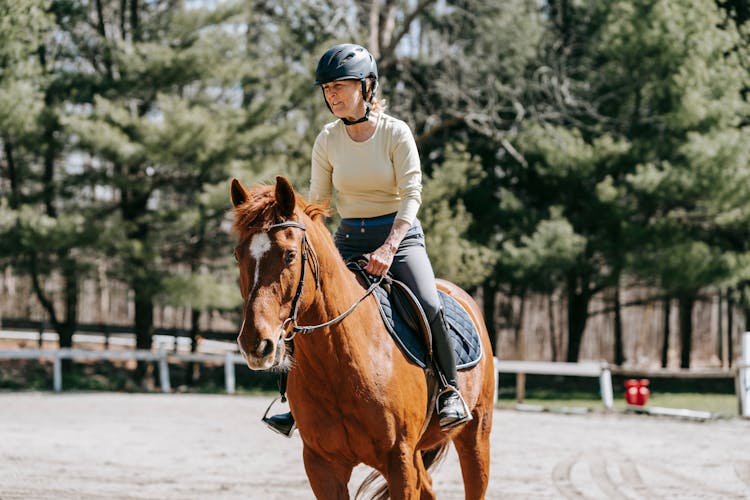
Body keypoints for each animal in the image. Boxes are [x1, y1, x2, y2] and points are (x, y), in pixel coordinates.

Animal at [232, 175, 496, 496]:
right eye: (238, 255)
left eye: (290, 255)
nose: (255, 344)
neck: (337, 362)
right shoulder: (322, 465)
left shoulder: (399, 461)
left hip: (475, 437)